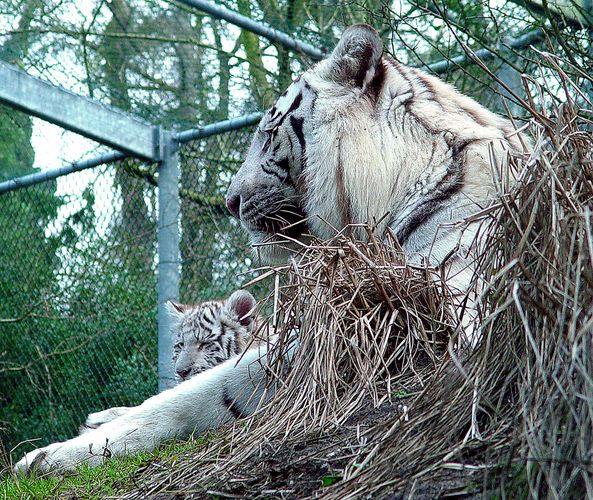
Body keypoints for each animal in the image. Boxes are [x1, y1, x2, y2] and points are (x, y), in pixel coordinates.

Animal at [12, 24, 524, 476]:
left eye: (267, 132)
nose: (229, 201)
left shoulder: (440, 317)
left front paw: (52, 456)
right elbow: (195, 391)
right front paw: (56, 452)